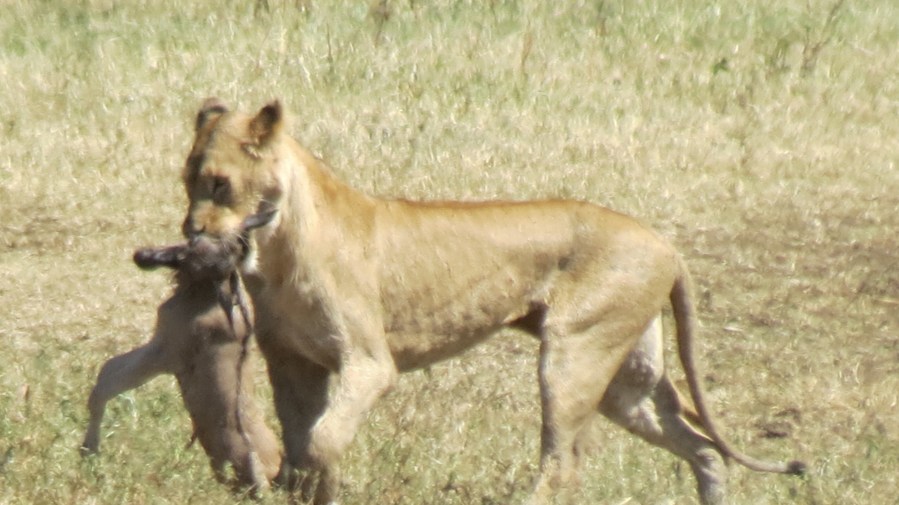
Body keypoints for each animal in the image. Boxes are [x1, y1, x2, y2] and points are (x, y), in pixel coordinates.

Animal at [179, 98, 805, 505]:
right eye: (186, 182)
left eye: (218, 184)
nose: (190, 232)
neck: (274, 248)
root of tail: (666, 244)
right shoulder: (293, 362)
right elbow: (300, 440)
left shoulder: (369, 362)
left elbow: (324, 440)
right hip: (628, 380)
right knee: (701, 446)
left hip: (574, 354)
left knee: (563, 468)